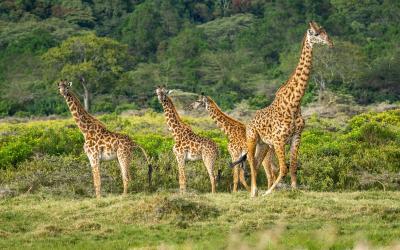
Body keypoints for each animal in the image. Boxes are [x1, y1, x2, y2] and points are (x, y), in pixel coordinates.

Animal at [236, 22, 332, 197]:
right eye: (315, 33)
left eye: (325, 32)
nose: (330, 43)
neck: (294, 104)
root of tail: (249, 121)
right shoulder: (279, 140)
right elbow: (283, 169)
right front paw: (269, 193)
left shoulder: (296, 137)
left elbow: (292, 166)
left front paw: (295, 190)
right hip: (252, 139)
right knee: (252, 162)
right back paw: (254, 192)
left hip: (264, 144)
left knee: (257, 163)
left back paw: (256, 192)